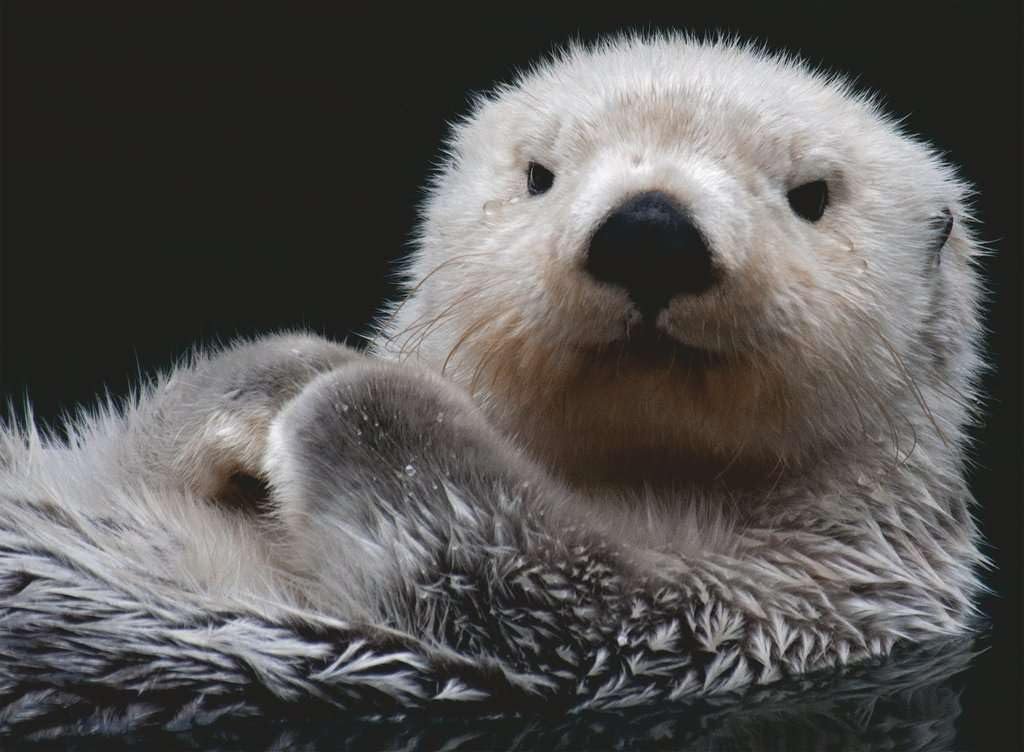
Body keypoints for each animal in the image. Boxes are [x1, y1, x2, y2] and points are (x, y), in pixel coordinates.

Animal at [0, 35, 986, 732]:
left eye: (812, 194)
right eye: (540, 174)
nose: (651, 231)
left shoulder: (770, 610)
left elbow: (526, 570)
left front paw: (350, 395)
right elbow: (134, 448)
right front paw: (282, 376)